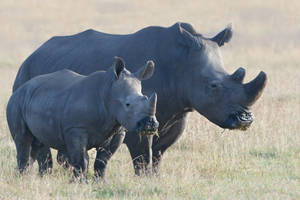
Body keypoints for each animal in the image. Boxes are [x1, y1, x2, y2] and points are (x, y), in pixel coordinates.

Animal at [5, 56, 158, 180]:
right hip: (16, 102)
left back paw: (33, 177)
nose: (150, 124)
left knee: (37, 143)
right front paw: (78, 182)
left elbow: (103, 161)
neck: (108, 91)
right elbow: (81, 160)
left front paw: (100, 182)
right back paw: (23, 178)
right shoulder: (76, 128)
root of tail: (18, 89)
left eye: (145, 97)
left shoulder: (118, 130)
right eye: (127, 104)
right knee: (23, 140)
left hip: (40, 100)